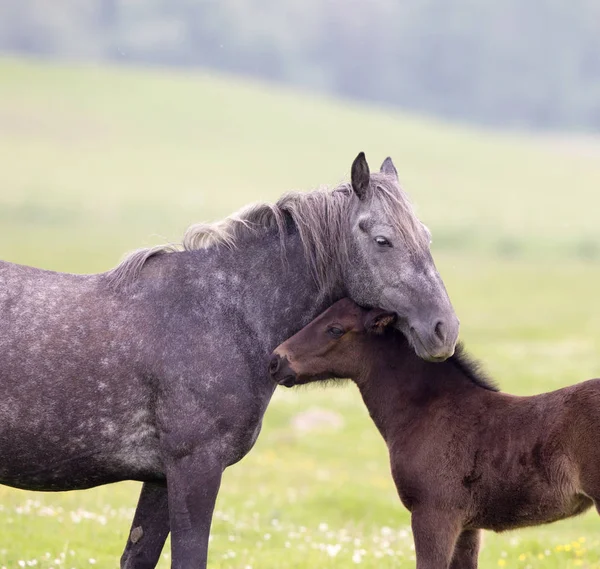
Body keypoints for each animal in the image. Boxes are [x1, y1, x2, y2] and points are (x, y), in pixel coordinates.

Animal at [0, 154, 460, 568]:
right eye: (383, 240)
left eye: (427, 236)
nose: (445, 329)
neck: (227, 312)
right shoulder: (195, 469)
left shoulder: (160, 477)